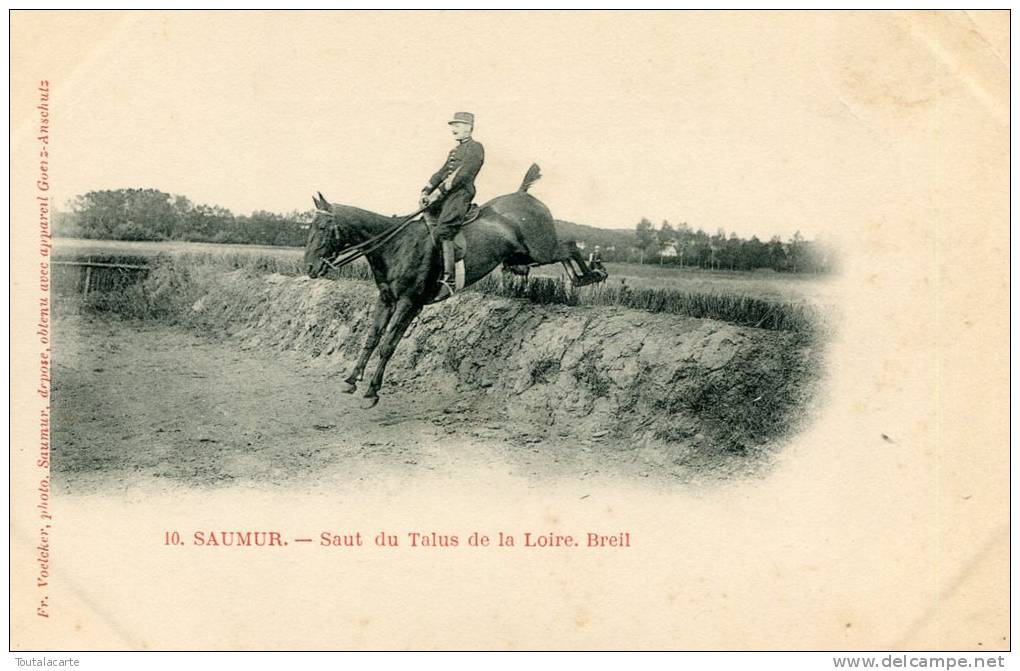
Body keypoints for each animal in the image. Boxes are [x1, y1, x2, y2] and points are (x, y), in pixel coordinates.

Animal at [301, 164, 603, 405]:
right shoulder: (386, 300)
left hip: (541, 250)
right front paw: (352, 379)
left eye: (323, 228)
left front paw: (372, 391)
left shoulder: (408, 302)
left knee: (570, 246)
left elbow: (388, 344)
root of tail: (524, 195)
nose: (309, 268)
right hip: (522, 256)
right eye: (309, 227)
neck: (395, 245)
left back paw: (593, 275)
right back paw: (582, 278)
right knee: (563, 253)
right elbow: (372, 339)